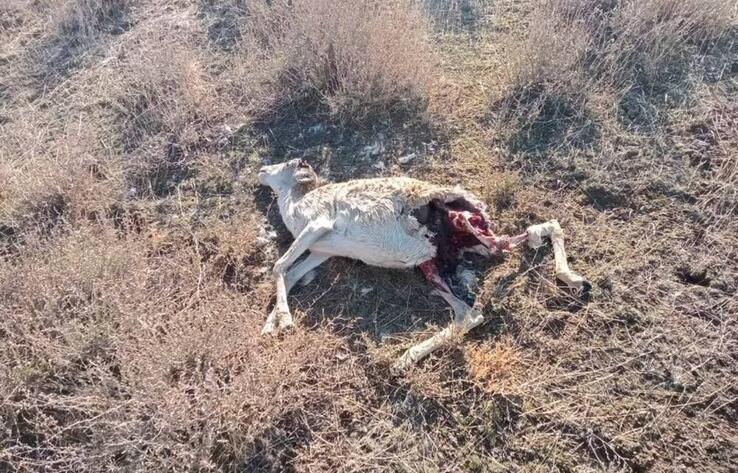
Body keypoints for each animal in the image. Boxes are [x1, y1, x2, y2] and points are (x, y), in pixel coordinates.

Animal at [256, 160, 588, 370]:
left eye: (289, 163)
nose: (261, 170)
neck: (295, 205)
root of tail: (479, 208)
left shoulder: (318, 224)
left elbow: (278, 266)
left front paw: (285, 320)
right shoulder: (319, 250)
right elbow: (290, 273)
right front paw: (270, 325)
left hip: (465, 225)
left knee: (534, 234)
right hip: (437, 262)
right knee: (471, 312)